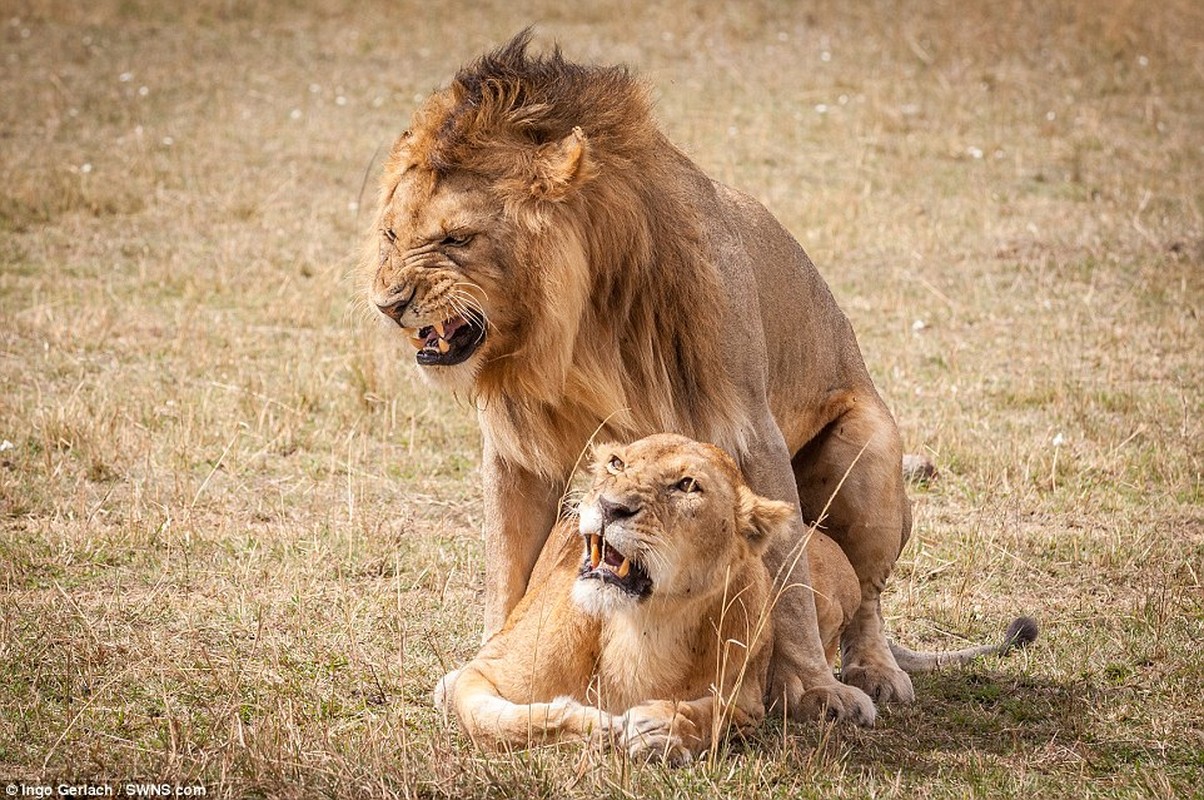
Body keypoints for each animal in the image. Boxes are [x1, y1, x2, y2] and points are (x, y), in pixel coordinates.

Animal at [366, 31, 910, 722]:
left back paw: (875, 671)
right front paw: (487, 663)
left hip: (867, 455)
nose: (388, 303)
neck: (574, 332)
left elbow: (790, 578)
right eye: (390, 233)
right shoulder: (516, 451)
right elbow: (506, 567)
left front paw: (815, 688)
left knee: (866, 596)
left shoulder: (748, 429)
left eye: (456, 239)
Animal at [438, 433, 1040, 766]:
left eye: (686, 486)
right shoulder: (484, 672)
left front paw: (663, 728)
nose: (610, 507)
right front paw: (595, 723)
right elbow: (496, 719)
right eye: (617, 465)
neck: (641, 623)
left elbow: (720, 715)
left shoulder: (744, 697)